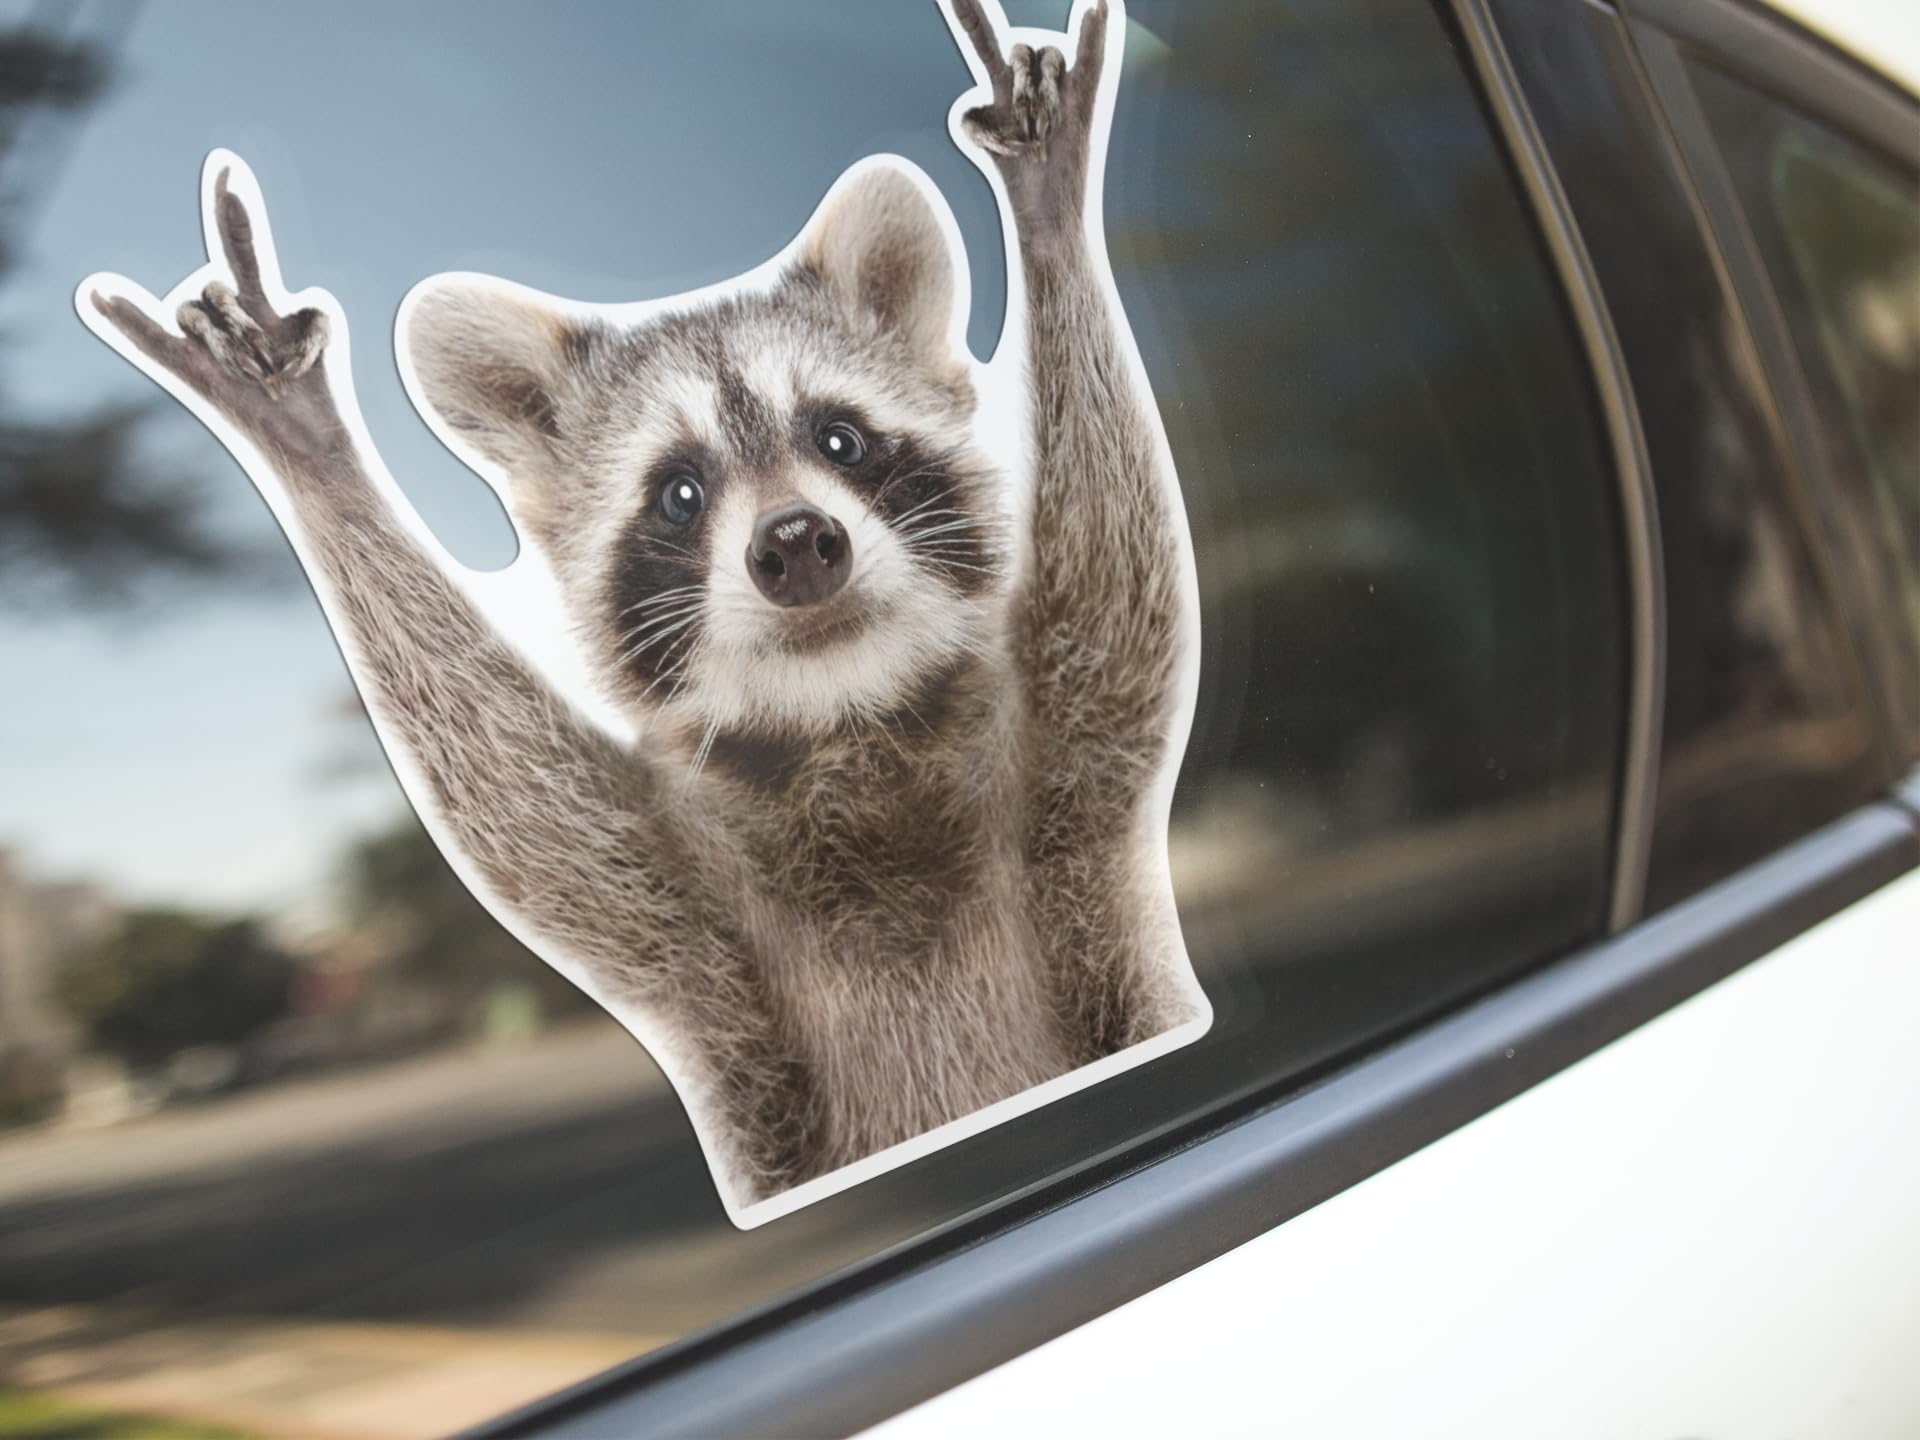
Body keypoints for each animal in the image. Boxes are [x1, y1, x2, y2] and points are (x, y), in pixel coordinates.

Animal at [81, 0, 1207, 1211]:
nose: (797, 546)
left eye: (840, 440)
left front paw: (1046, 218)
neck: (842, 720)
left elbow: (1115, 617)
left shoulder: (1064, 823)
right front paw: (310, 447)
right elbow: (526, 809)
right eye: (679, 493)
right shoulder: (698, 934)